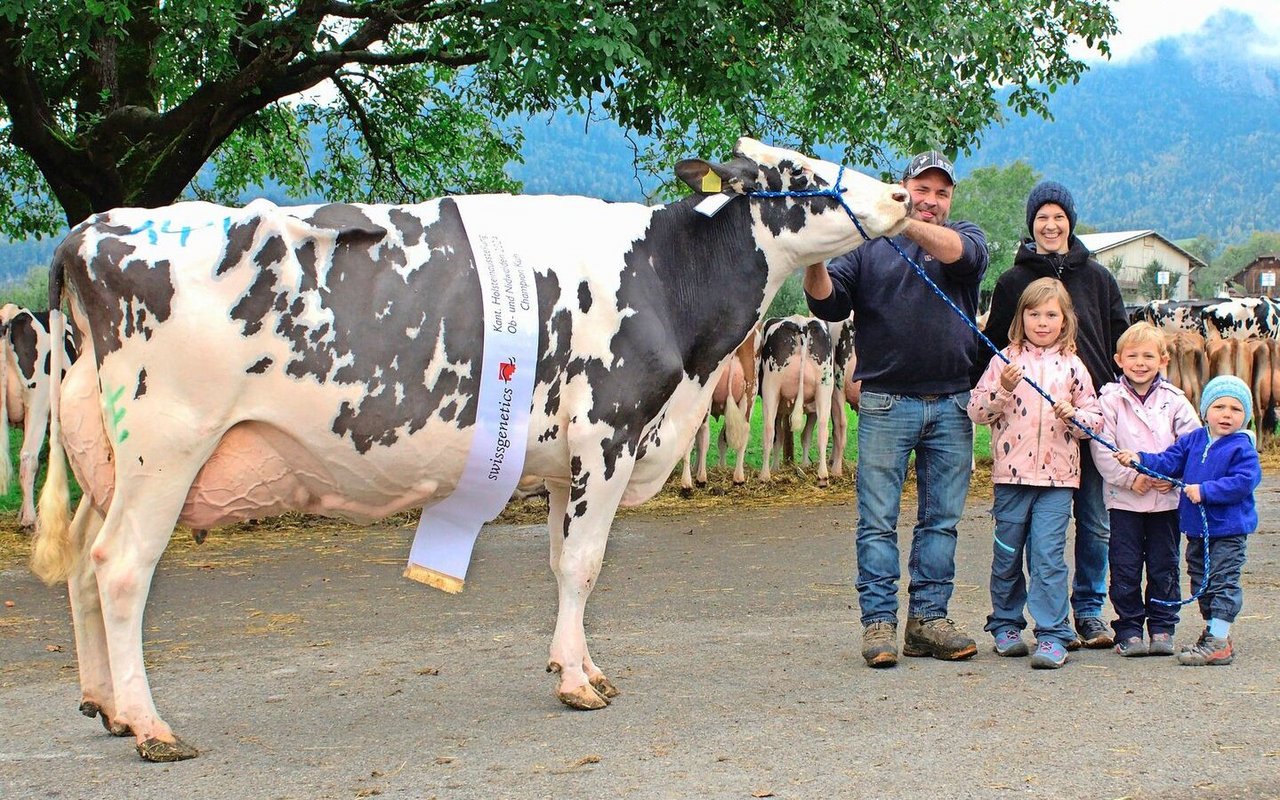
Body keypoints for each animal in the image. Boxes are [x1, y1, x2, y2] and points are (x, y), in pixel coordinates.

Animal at [32, 136, 911, 762]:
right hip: (164, 450)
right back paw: (150, 726)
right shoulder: (609, 435)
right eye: (794, 171)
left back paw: (106, 707)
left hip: (106, 461)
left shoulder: (562, 459)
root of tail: (94, 230)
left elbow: (561, 563)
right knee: (120, 569)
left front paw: (575, 666)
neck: (666, 282)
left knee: (81, 562)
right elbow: (586, 564)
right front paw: (578, 685)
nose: (902, 195)